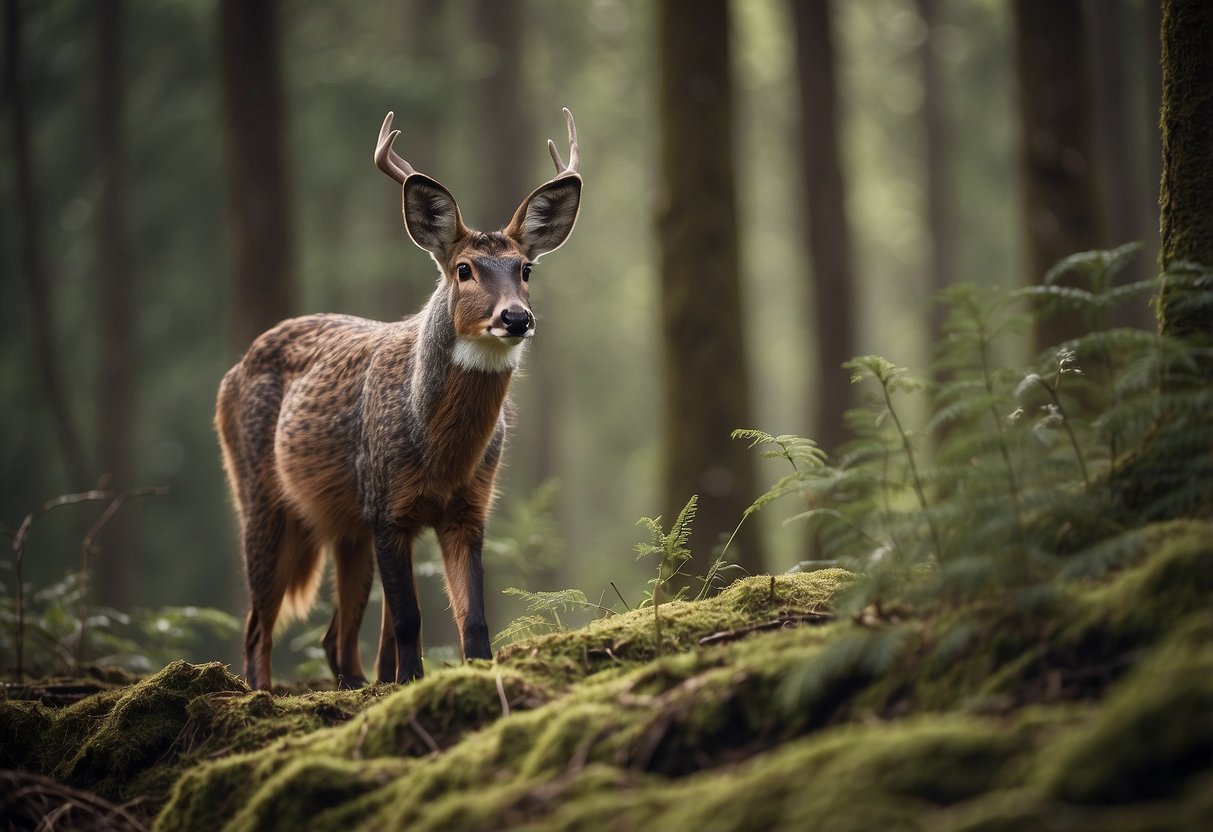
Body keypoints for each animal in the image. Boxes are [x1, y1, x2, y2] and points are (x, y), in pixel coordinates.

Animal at [217, 106, 582, 688]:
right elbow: (409, 618)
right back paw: (262, 695)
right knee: (258, 625)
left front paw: (464, 675)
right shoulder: (386, 504)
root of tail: (236, 368)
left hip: (344, 526)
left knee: (335, 636)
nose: (516, 317)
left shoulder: (468, 507)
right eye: (464, 269)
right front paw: (409, 682)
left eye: (525, 269)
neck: (439, 453)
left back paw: (354, 686)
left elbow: (472, 618)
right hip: (258, 492)